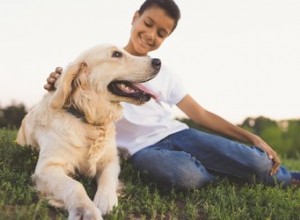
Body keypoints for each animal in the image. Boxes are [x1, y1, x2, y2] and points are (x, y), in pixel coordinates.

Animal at [16, 43, 162, 220]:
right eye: (116, 54)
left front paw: (107, 201)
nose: (158, 61)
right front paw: (87, 211)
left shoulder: (111, 160)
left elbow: (108, 178)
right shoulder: (46, 168)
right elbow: (75, 185)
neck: (88, 119)